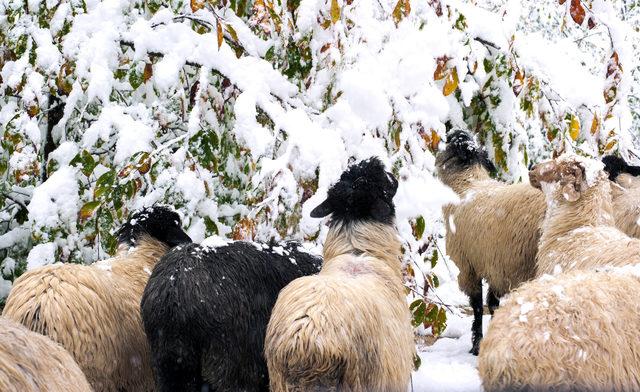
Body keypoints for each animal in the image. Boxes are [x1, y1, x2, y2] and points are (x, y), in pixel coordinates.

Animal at [438, 129, 548, 356]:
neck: (467, 185)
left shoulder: (468, 266)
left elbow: (478, 307)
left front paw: (476, 345)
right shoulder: (496, 266)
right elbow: (492, 304)